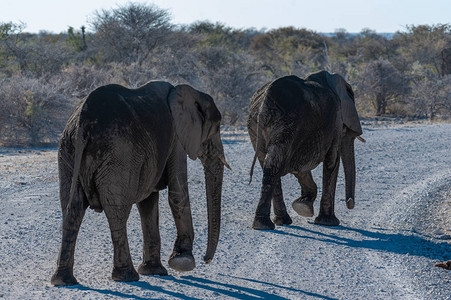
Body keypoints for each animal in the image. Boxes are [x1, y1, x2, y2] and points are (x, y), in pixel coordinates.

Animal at [51, 80, 231, 286]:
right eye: (216, 128)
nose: (206, 260)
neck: (187, 92)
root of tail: (82, 122)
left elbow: (148, 203)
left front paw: (155, 271)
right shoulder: (176, 138)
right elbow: (177, 192)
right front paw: (182, 262)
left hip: (68, 152)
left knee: (72, 209)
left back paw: (63, 281)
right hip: (118, 155)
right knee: (117, 213)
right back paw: (127, 276)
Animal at [249, 70, 366, 230]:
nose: (350, 203)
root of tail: (263, 103)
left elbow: (299, 168)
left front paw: (303, 208)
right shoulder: (336, 120)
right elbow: (332, 160)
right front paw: (328, 222)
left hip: (260, 127)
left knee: (269, 165)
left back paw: (276, 222)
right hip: (286, 124)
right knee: (274, 165)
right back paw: (266, 225)